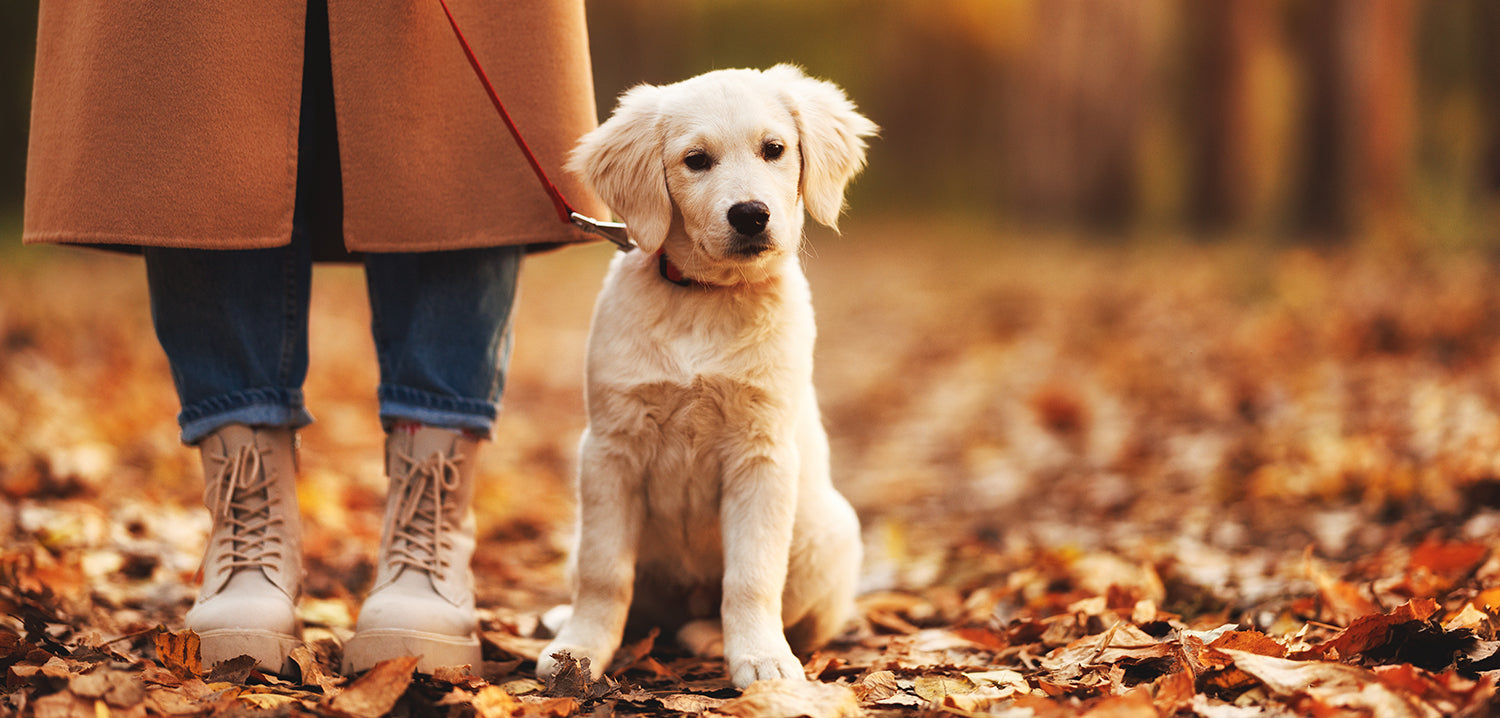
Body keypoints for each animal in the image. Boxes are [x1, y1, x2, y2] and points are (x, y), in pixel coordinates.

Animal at [534, 67, 876, 692]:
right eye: (696, 161)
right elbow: (603, 573)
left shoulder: (761, 453)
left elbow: (751, 576)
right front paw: (580, 650)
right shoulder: (610, 448)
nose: (750, 214)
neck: (707, 297)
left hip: (830, 531)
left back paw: (713, 637)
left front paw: (763, 660)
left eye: (774, 150)